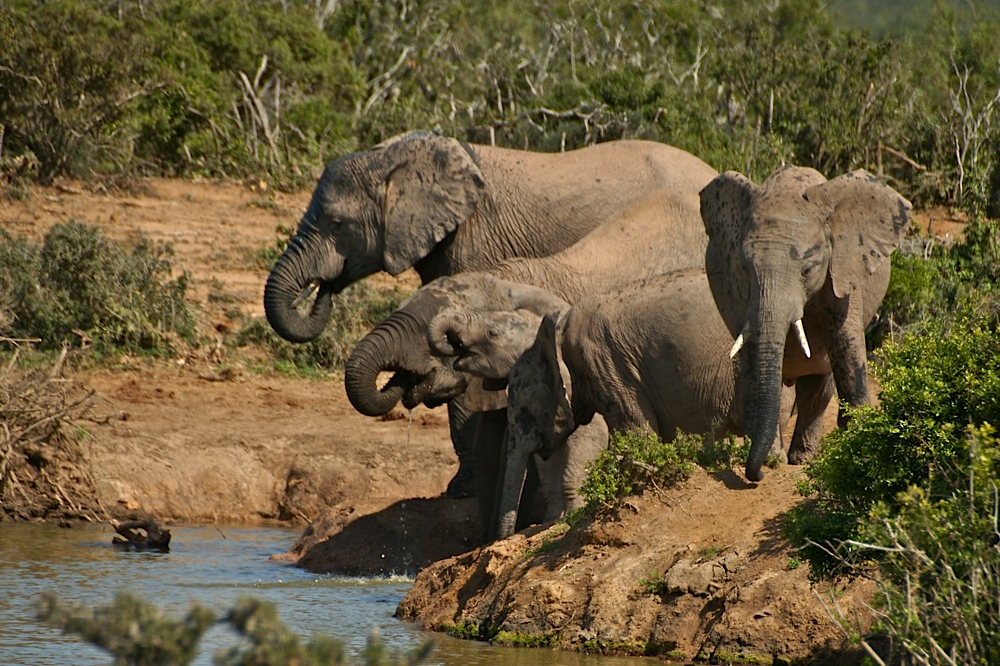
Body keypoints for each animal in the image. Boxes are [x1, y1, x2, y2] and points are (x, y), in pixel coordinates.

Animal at [700, 165, 912, 478]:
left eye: (808, 269)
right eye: (745, 268)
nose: (756, 474)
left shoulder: (843, 270)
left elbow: (846, 346)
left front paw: (859, 444)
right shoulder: (740, 293)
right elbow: (754, 362)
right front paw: (770, 461)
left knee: (819, 386)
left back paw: (802, 458)